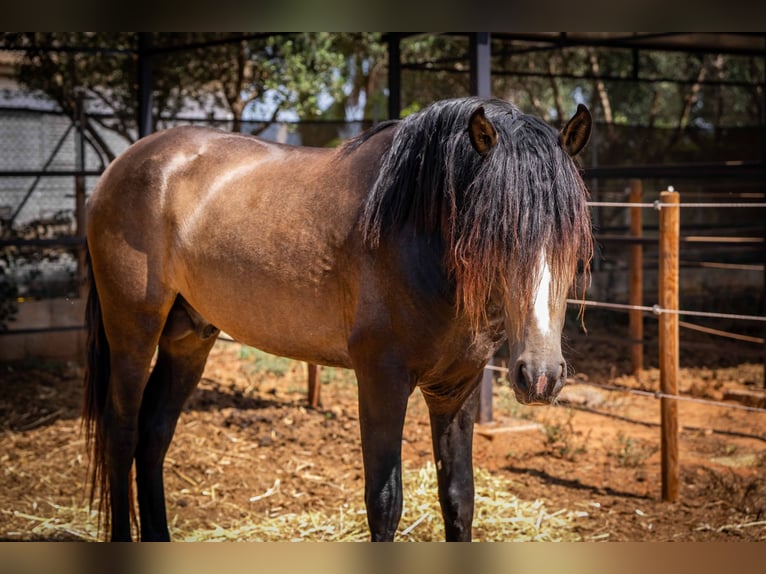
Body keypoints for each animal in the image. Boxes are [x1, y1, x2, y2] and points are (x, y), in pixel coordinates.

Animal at [82, 97, 592, 544]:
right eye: (497, 235)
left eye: (571, 240)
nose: (541, 376)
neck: (412, 233)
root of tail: (122, 164)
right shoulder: (381, 381)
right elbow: (384, 504)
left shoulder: (457, 388)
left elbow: (459, 498)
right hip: (132, 331)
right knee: (122, 433)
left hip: (189, 338)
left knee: (153, 435)